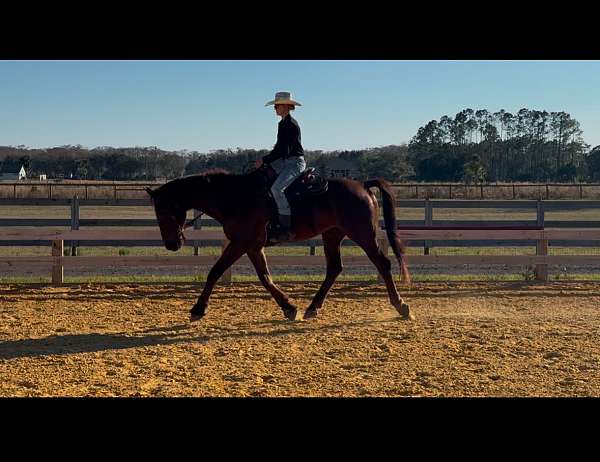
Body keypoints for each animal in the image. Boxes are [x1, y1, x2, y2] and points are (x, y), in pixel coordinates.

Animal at [148, 168, 414, 324]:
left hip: (362, 234)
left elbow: (215, 272)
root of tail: (363, 185)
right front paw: (289, 307)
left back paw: (401, 306)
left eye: (162, 211)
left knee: (383, 263)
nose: (171, 244)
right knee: (334, 269)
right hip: (332, 235)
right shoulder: (253, 246)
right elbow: (265, 277)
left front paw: (198, 309)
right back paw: (312, 308)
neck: (234, 197)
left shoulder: (240, 243)